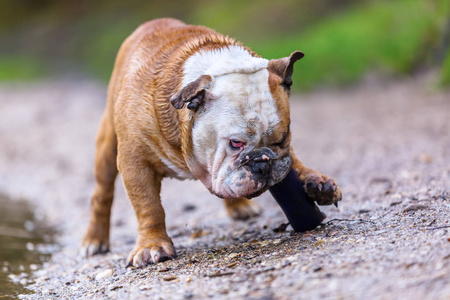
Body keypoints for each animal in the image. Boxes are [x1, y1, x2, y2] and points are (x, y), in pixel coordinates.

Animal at [81, 18, 342, 268]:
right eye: (235, 143)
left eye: (283, 137)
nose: (263, 162)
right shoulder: (136, 162)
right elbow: (148, 206)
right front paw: (151, 245)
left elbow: (294, 161)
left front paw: (317, 182)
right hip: (108, 146)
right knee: (102, 193)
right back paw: (94, 240)